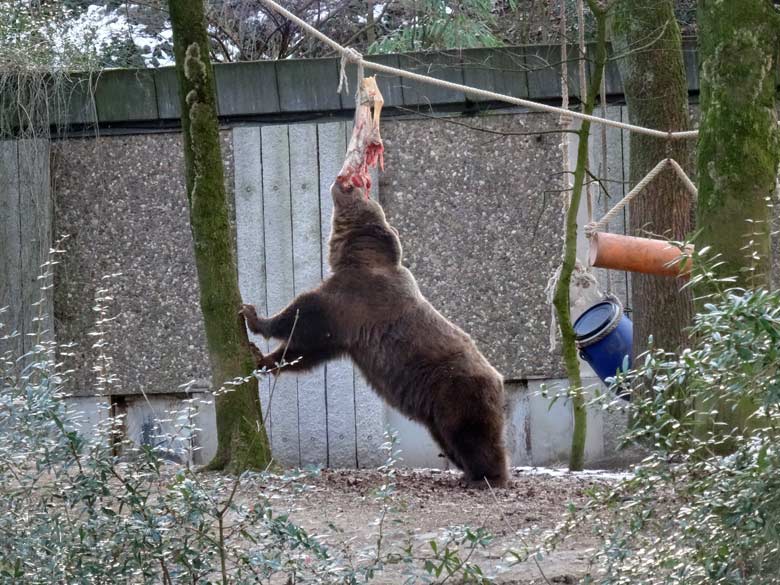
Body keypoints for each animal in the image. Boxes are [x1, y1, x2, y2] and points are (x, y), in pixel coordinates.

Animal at [244, 180, 512, 486]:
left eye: (361, 193)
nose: (344, 181)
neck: (357, 257)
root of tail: (499, 379)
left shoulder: (353, 299)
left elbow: (302, 317)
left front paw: (254, 317)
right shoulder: (343, 332)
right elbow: (306, 352)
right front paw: (261, 359)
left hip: (457, 392)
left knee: (472, 437)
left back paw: (486, 477)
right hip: (439, 413)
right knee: (451, 441)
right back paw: (468, 473)